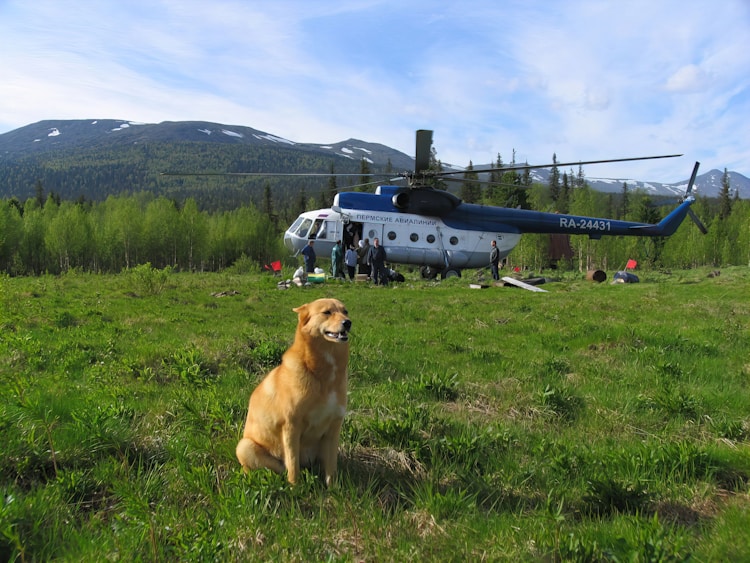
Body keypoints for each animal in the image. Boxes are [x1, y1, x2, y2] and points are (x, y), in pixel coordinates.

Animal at [235, 298, 352, 486]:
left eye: (345, 311)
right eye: (327, 312)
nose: (348, 323)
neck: (321, 373)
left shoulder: (334, 428)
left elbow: (331, 469)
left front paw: (333, 488)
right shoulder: (291, 427)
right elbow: (293, 465)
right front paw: (295, 488)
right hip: (245, 447)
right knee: (276, 468)